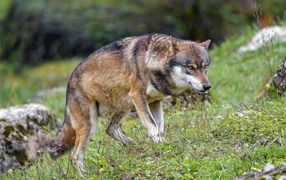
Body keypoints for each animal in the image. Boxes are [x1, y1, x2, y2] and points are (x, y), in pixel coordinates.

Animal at [49, 33, 211, 176]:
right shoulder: (138, 96)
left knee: (110, 129)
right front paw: (160, 143)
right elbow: (152, 125)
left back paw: (136, 145)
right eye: (190, 67)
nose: (207, 86)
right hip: (91, 126)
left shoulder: (155, 102)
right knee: (76, 155)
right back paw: (86, 175)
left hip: (125, 106)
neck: (150, 62)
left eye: (205, 66)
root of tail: (69, 83)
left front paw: (159, 143)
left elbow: (160, 127)